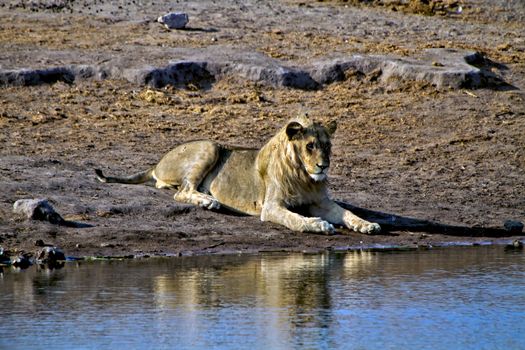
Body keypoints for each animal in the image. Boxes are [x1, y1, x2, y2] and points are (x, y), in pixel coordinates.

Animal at [95, 116, 380, 234]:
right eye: (310, 146)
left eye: (327, 146)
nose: (323, 166)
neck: (303, 176)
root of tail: (157, 162)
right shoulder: (271, 206)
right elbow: (294, 218)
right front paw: (318, 225)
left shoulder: (321, 202)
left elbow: (347, 213)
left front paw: (366, 224)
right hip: (209, 147)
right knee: (182, 192)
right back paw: (209, 201)